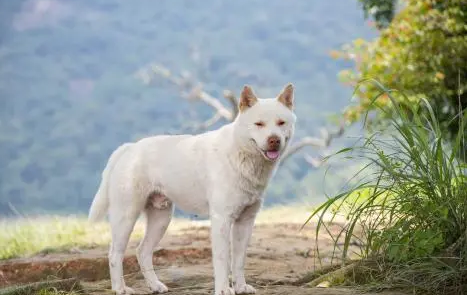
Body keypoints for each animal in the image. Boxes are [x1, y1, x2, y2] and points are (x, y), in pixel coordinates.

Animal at [88, 84, 296, 295]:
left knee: (142, 251)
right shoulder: (222, 219)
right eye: (259, 124)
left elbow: (239, 260)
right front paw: (223, 289)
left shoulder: (246, 221)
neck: (241, 153)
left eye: (281, 122)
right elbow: (223, 259)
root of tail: (129, 147)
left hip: (161, 219)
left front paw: (241, 287)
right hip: (126, 216)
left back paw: (155, 285)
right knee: (114, 254)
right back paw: (120, 288)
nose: (274, 140)